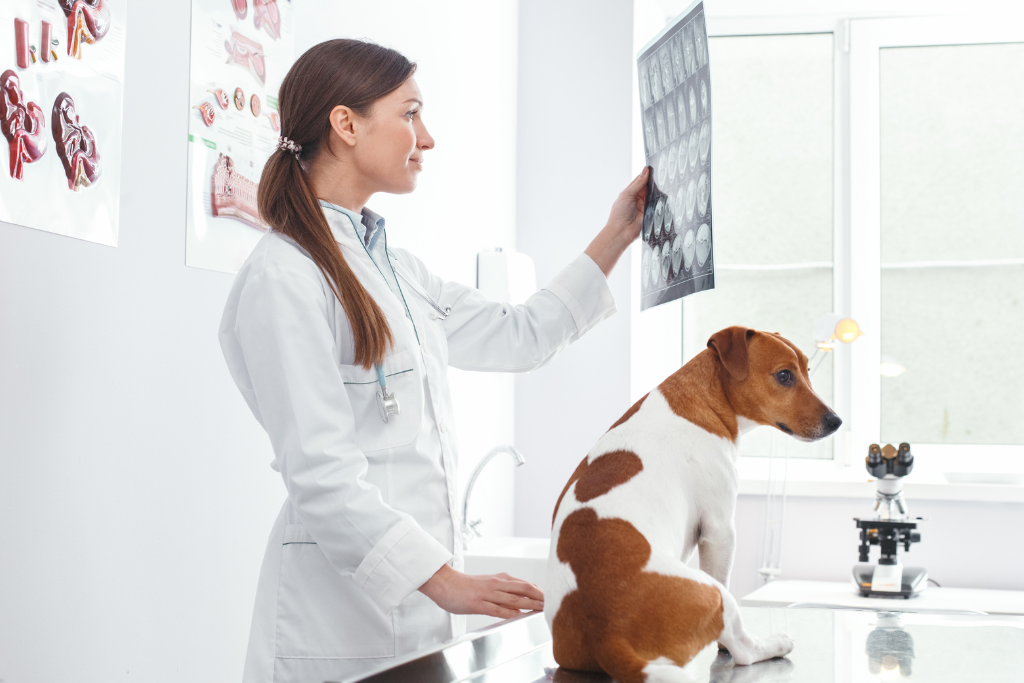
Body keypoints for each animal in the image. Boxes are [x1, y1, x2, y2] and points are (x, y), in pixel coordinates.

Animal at [544, 325, 839, 683]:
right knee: (743, 649)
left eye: (808, 371)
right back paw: (772, 644)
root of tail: (606, 634)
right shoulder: (719, 530)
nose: (836, 421)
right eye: (784, 376)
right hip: (714, 593)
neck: (704, 402)